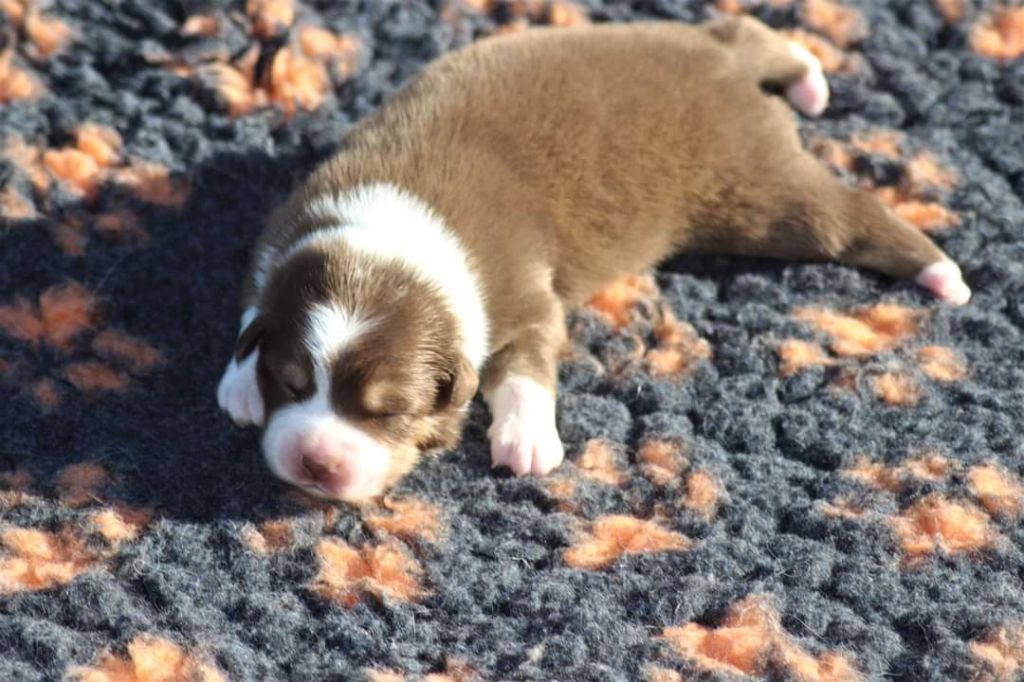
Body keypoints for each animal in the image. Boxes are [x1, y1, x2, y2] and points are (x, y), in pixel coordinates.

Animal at [214, 17, 966, 499]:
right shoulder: (283, 227)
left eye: (387, 410)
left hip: (760, 194)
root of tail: (726, 77)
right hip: (674, 46)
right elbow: (253, 305)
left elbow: (527, 363)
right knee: (744, 27)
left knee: (853, 218)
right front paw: (239, 382)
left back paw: (944, 274)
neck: (390, 231)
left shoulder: (523, 295)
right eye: (290, 381)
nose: (315, 463)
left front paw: (527, 438)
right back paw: (807, 75)